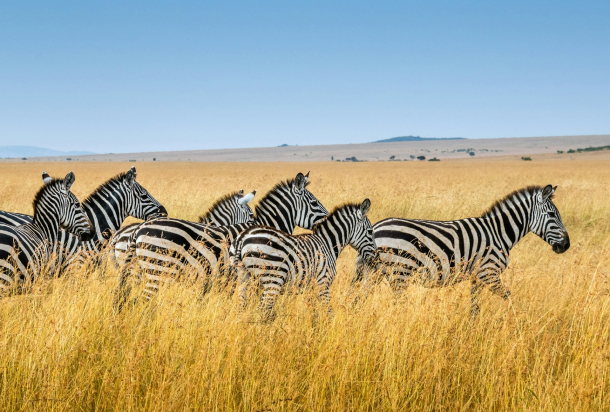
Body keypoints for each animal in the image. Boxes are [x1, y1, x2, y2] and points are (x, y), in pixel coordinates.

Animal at [233, 199, 372, 316]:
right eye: (370, 231)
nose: (373, 257)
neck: (328, 244)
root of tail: (243, 237)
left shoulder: (312, 287)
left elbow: (315, 312)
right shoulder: (323, 282)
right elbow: (328, 311)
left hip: (243, 276)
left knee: (241, 307)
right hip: (273, 279)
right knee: (263, 310)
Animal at [354, 185, 568, 318]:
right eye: (551, 215)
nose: (566, 245)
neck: (499, 232)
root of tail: (376, 227)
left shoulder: (477, 276)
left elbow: (475, 306)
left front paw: (472, 329)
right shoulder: (488, 272)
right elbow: (509, 297)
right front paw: (517, 323)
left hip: (374, 272)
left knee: (359, 299)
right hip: (400, 272)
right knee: (397, 304)